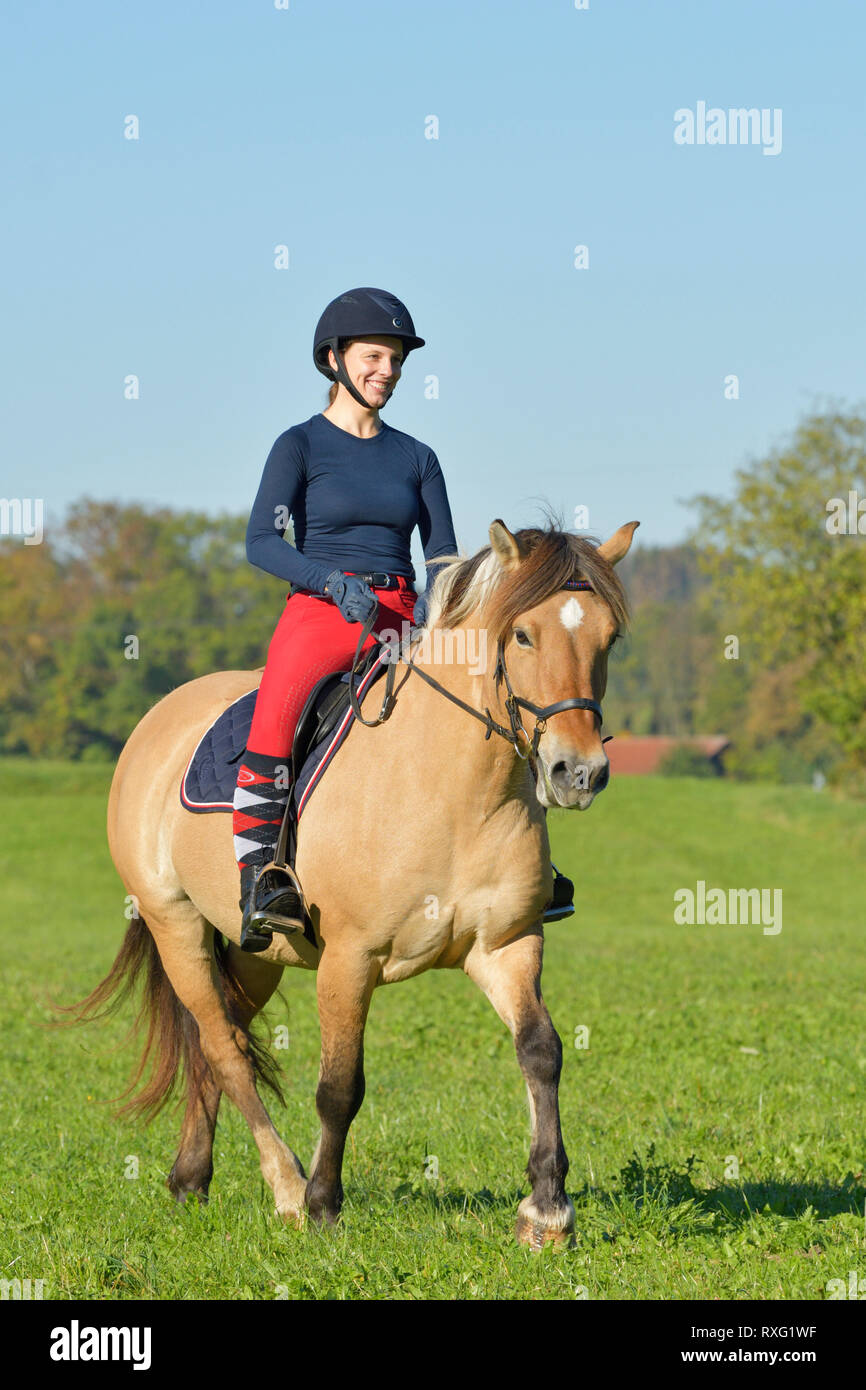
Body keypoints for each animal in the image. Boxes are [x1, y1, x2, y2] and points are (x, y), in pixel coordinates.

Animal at [62, 517, 637, 1249]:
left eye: (608, 638)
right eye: (524, 635)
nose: (579, 772)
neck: (455, 789)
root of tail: (159, 719)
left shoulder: (506, 946)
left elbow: (541, 1051)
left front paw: (547, 1210)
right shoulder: (350, 958)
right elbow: (340, 1086)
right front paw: (322, 1205)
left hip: (256, 951)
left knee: (217, 1037)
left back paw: (190, 1178)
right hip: (175, 924)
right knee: (225, 1046)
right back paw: (283, 1185)